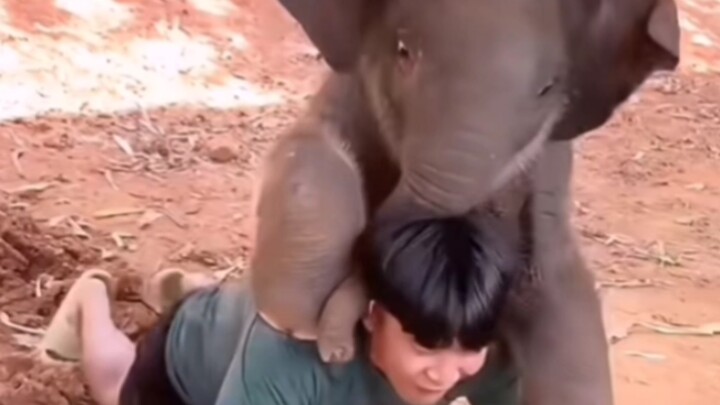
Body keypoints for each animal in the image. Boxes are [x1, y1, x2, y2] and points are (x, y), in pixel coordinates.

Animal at [248, 0, 680, 404]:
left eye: (547, 88)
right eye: (404, 51)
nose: (337, 350)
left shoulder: (548, 176)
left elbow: (561, 297)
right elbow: (309, 148)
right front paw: (300, 318)